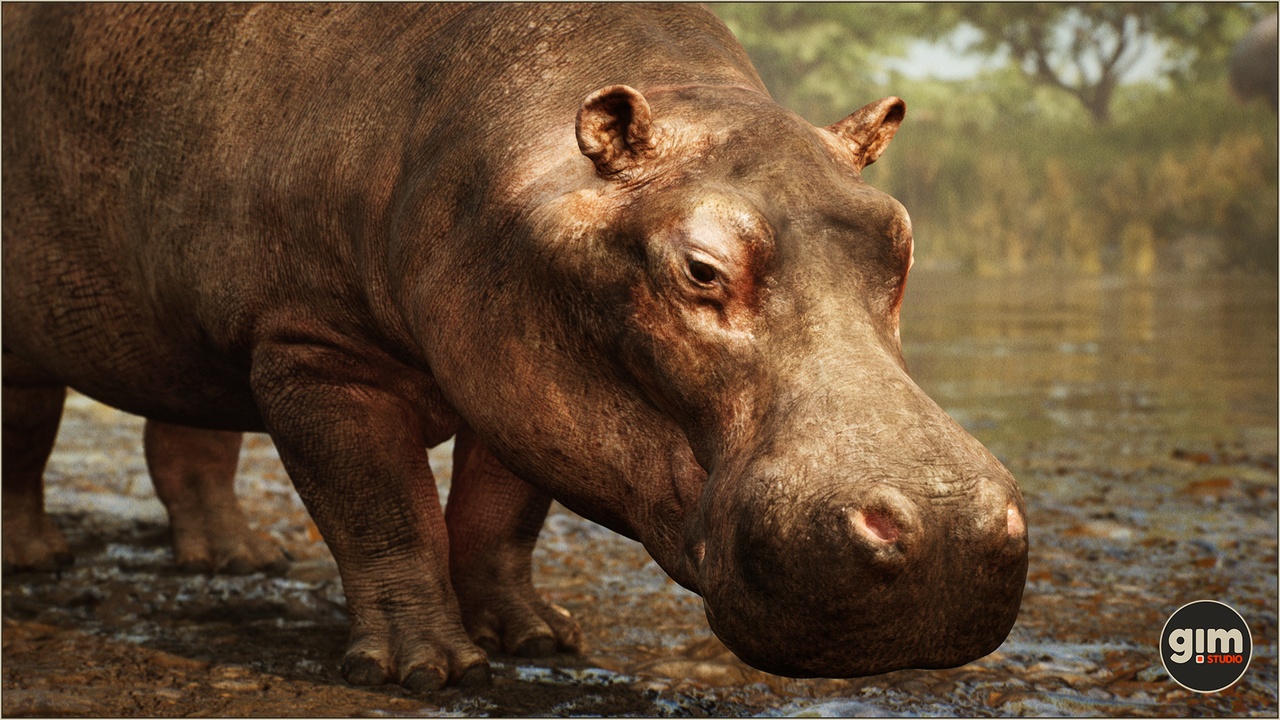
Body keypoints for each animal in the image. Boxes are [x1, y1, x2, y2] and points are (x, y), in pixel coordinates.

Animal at [2, 4, 1028, 690]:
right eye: (700, 268)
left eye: (900, 238)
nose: (946, 527)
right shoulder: (316, 348)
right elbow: (384, 510)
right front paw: (425, 672)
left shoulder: (518, 373)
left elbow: (502, 518)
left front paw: (539, 639)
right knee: (28, 431)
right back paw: (37, 565)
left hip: (198, 337)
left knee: (190, 433)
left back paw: (235, 564)